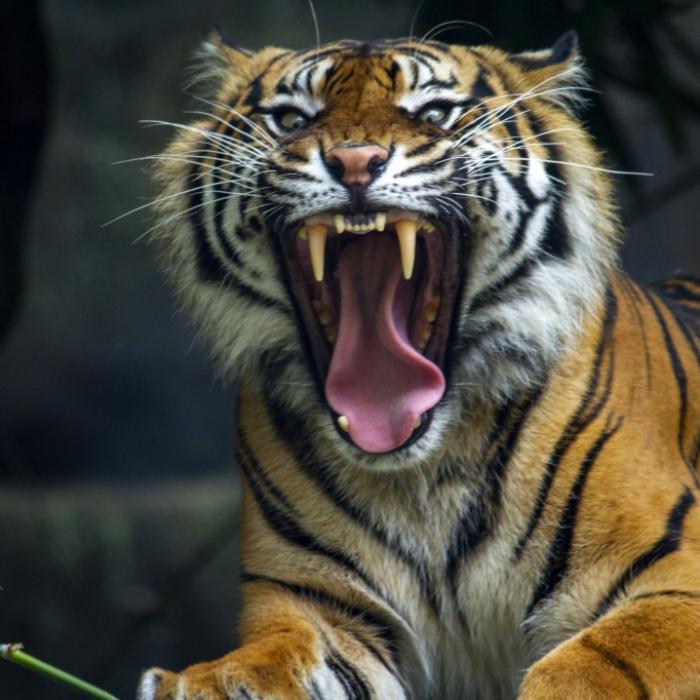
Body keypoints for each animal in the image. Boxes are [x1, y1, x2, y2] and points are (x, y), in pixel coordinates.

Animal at [136, 29, 700, 700]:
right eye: (292, 119)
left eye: (432, 113)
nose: (355, 162)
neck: (422, 474)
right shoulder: (318, 603)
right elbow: (277, 654)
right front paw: (213, 682)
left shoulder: (675, 576)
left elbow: (596, 664)